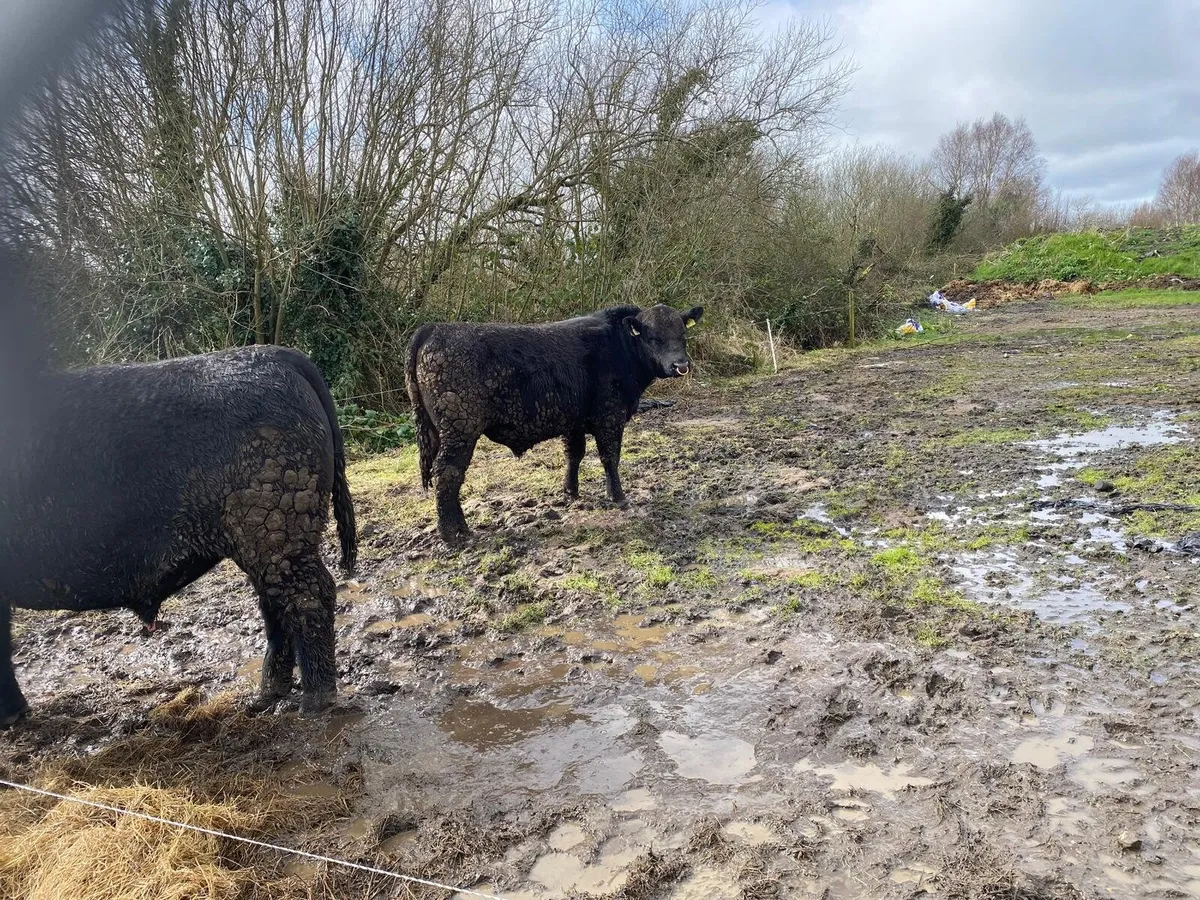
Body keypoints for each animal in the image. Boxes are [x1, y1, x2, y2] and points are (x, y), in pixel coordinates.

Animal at [0, 346, 357, 726]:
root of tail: (274, 354)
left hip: (279, 523)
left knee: (311, 593)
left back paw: (314, 702)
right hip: (263, 537)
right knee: (274, 603)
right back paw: (263, 697)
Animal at [406, 303, 703, 544]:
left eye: (682, 335)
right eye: (653, 338)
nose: (680, 365)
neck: (620, 347)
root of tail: (434, 329)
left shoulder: (574, 421)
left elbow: (574, 455)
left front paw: (571, 491)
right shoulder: (610, 416)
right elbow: (610, 457)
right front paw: (618, 497)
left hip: (440, 431)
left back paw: (460, 529)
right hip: (460, 429)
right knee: (448, 474)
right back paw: (452, 534)